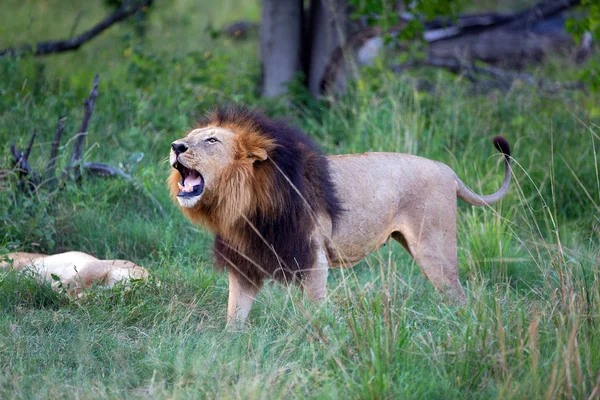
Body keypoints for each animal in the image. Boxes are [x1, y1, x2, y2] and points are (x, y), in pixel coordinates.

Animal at [169, 106, 510, 324]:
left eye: (212, 140)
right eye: (190, 135)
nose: (175, 146)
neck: (242, 203)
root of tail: (448, 171)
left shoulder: (312, 259)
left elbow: (315, 310)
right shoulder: (245, 264)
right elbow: (234, 317)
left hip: (434, 249)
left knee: (459, 297)